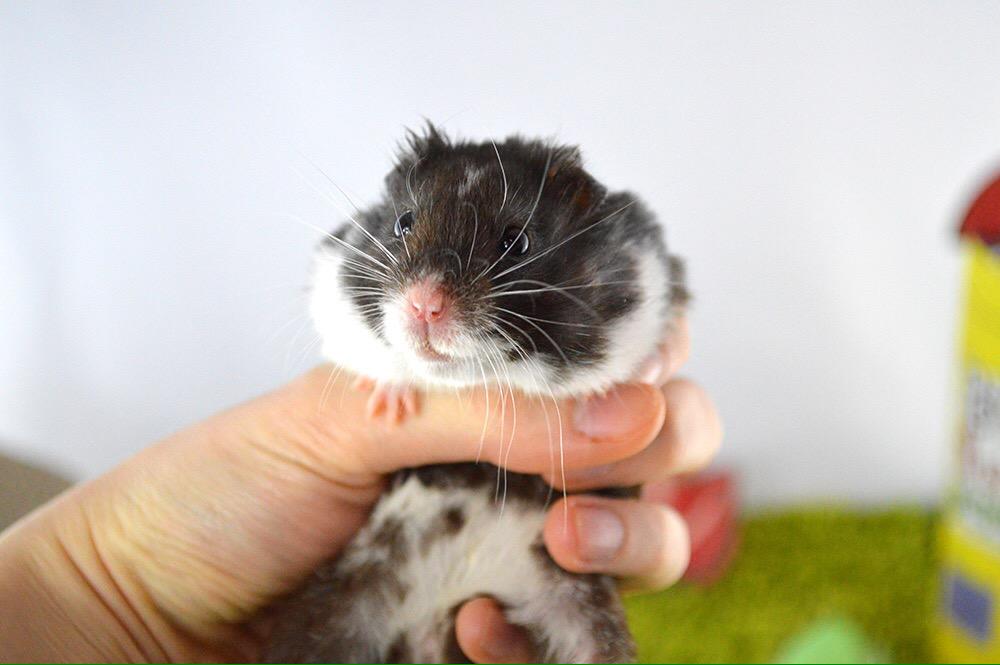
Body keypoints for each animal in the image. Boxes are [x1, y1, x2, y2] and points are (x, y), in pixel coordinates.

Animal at [263, 126, 688, 663]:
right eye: (403, 222)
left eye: (517, 242)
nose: (424, 305)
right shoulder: (335, 284)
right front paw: (389, 403)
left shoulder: (654, 274)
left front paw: (639, 379)